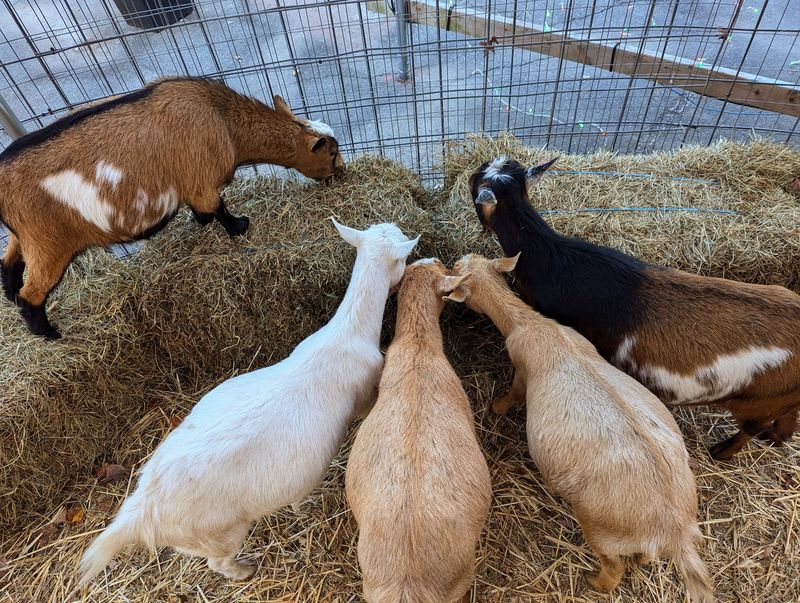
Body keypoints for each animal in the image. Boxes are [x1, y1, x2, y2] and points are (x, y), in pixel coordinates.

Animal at [0, 76, 344, 339]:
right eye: (330, 153)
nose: (341, 171)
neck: (224, 120)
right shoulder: (201, 179)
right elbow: (218, 207)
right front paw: (240, 226)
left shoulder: (190, 187)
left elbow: (203, 210)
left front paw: (203, 222)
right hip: (49, 244)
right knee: (31, 295)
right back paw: (48, 333)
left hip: (25, 237)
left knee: (10, 265)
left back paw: (10, 297)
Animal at [77, 219, 418, 584]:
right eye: (402, 254)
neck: (348, 330)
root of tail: (142, 511)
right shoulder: (366, 388)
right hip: (221, 533)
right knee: (218, 562)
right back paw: (244, 570)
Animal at [444, 252, 714, 601]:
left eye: (456, 270)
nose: (452, 262)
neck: (530, 322)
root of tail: (675, 528)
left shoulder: (521, 368)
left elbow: (515, 393)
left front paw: (496, 407)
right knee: (645, 556)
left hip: (601, 530)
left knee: (615, 567)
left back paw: (595, 583)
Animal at [468, 156, 800, 460]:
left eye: (473, 183)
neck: (552, 258)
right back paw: (776, 438)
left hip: (757, 403)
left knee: (751, 428)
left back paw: (723, 451)